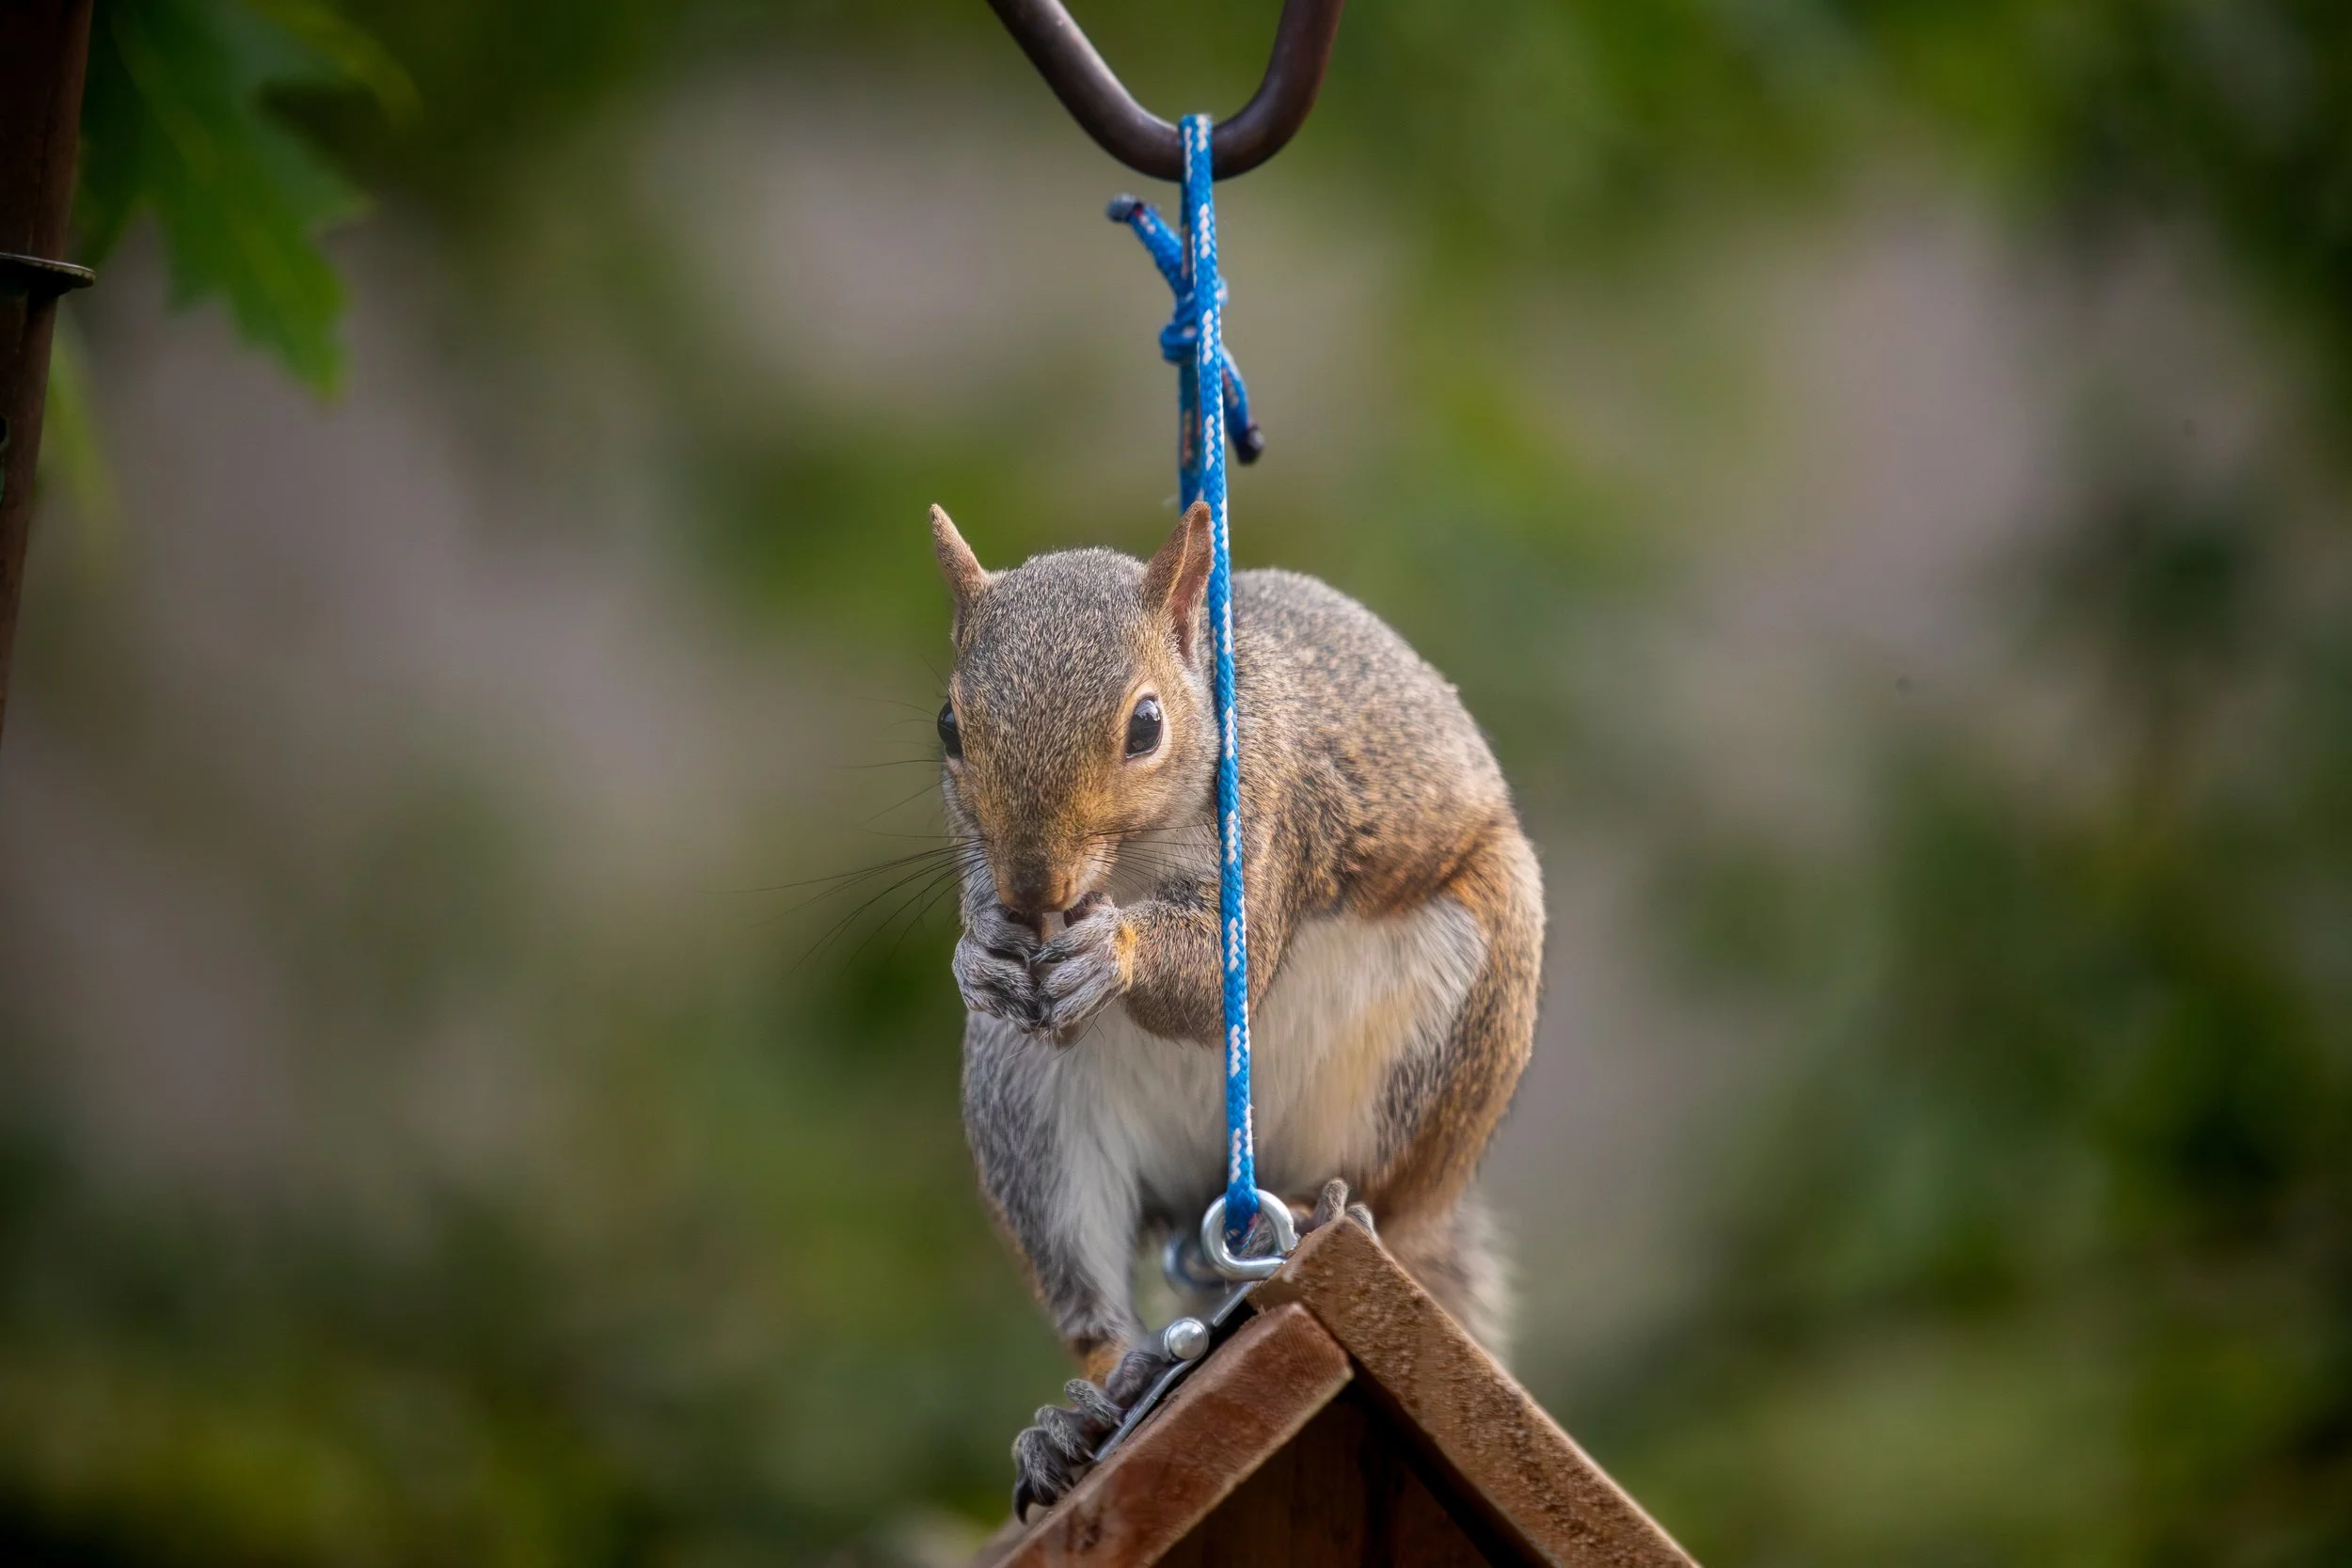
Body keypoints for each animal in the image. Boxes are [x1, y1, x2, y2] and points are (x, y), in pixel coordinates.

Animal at [928, 500, 1544, 1516]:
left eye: (1145, 725)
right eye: (948, 724)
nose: (1033, 886)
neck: (1124, 869)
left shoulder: (1272, 812)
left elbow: (1223, 974)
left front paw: (1116, 950)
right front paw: (976, 953)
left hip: (1455, 1026)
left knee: (1386, 1194)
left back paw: (1331, 1206)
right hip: (1021, 1094)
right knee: (1090, 1301)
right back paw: (1086, 1411)